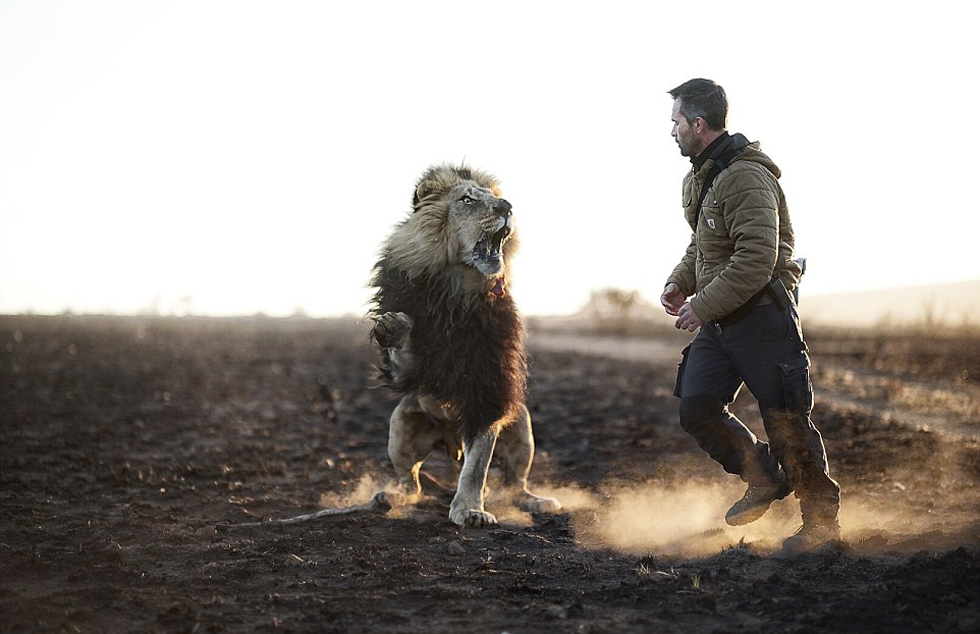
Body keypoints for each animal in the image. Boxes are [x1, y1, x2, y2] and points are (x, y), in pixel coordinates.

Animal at [368, 164, 564, 528]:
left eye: (497, 198)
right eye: (468, 199)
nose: (507, 207)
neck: (455, 290)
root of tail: (450, 440)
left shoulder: (489, 387)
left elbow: (476, 468)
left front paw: (471, 509)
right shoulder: (411, 372)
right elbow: (405, 358)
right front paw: (393, 327)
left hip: (522, 424)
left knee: (515, 482)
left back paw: (537, 501)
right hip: (399, 424)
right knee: (411, 482)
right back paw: (390, 496)